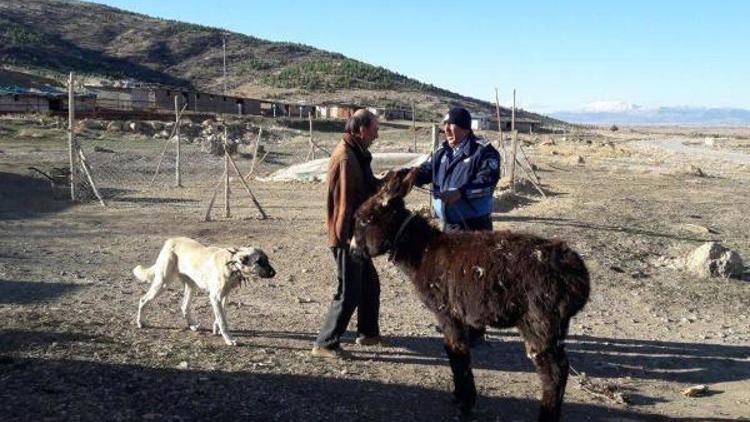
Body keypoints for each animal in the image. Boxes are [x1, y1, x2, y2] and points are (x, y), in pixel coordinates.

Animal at [134, 237, 278, 346]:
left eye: (267, 259)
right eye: (258, 261)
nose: (274, 273)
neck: (231, 264)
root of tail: (170, 241)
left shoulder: (224, 296)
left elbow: (221, 315)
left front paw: (216, 328)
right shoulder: (215, 297)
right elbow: (223, 321)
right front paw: (229, 339)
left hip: (191, 286)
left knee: (184, 306)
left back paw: (192, 325)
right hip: (163, 283)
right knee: (143, 299)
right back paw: (140, 323)